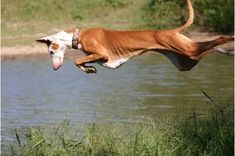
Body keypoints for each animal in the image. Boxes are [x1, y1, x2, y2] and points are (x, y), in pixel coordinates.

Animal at [36, 0, 233, 73]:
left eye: (51, 52)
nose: (54, 68)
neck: (78, 35)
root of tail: (172, 31)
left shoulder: (102, 54)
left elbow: (77, 61)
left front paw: (87, 68)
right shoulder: (101, 58)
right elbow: (82, 62)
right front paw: (89, 68)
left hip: (188, 49)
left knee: (219, 39)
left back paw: (230, 42)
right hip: (186, 61)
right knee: (210, 49)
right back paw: (228, 51)